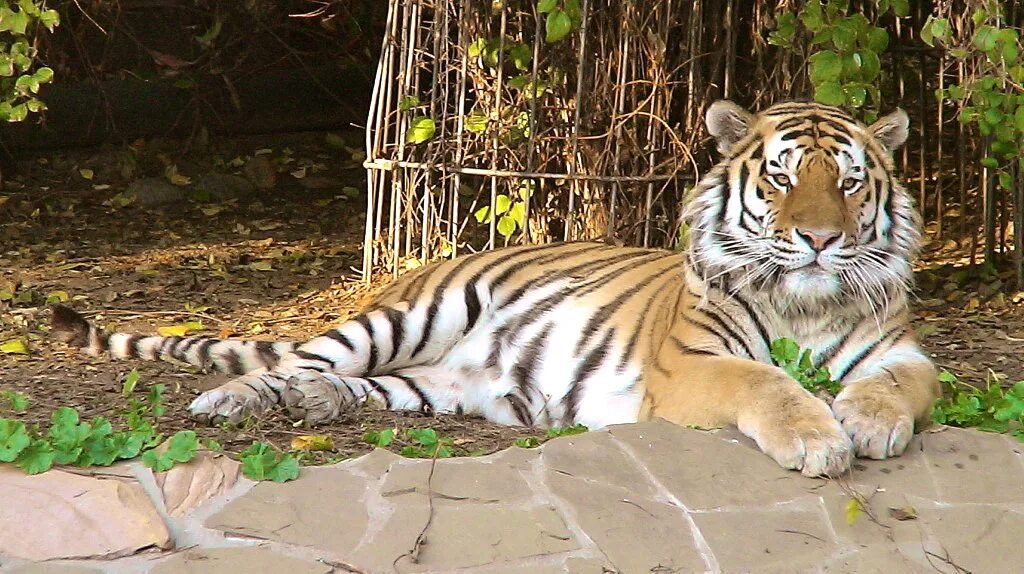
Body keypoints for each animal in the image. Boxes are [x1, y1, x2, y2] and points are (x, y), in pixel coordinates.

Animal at [51, 100, 937, 476]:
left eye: (850, 182)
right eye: (783, 179)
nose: (819, 239)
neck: (806, 303)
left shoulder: (903, 352)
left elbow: (897, 387)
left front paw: (868, 424)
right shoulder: (692, 365)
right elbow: (767, 382)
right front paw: (819, 438)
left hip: (435, 385)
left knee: (359, 386)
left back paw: (319, 406)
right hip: (409, 316)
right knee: (296, 361)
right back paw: (236, 403)